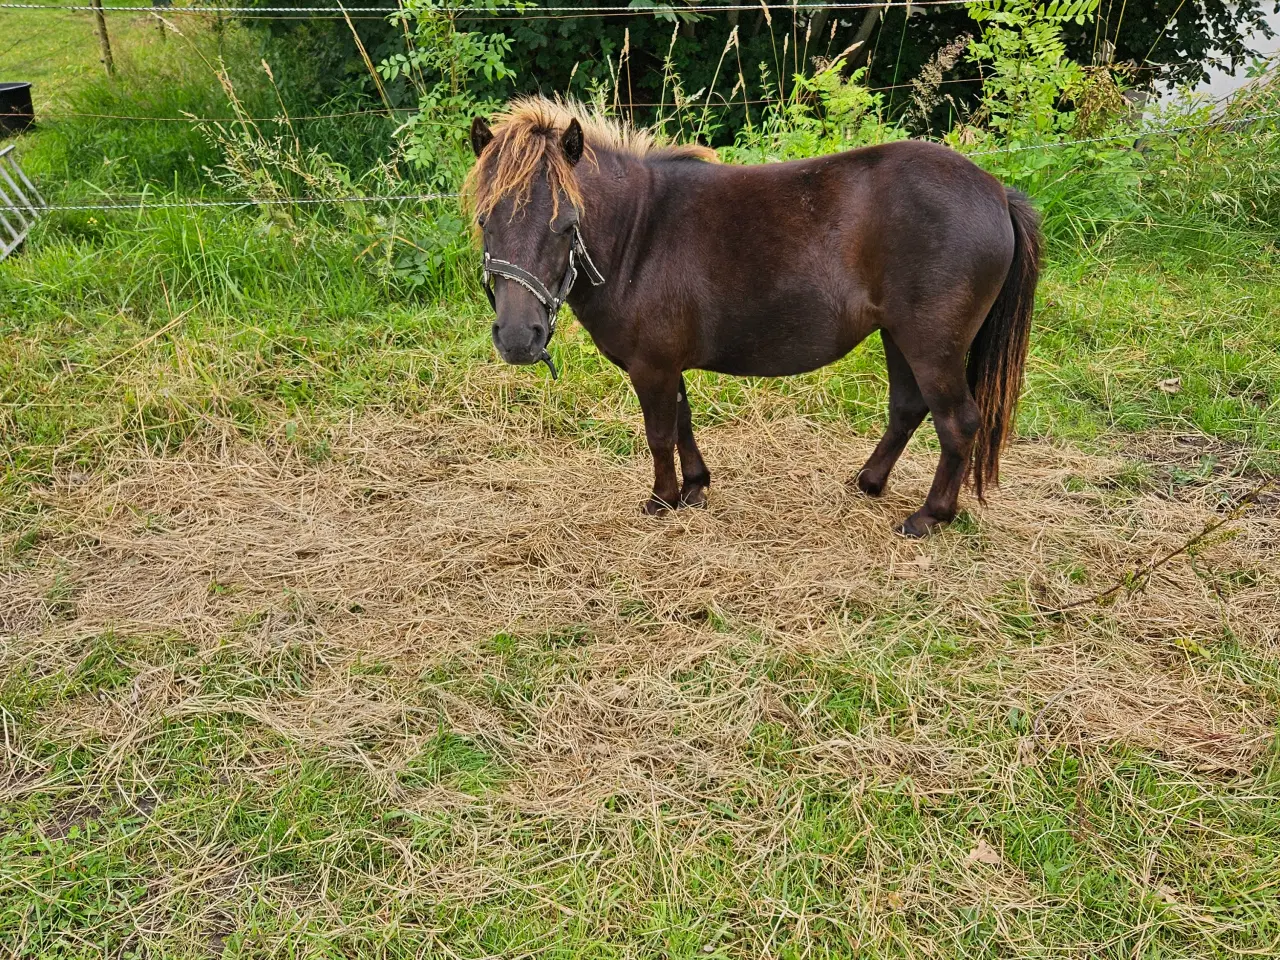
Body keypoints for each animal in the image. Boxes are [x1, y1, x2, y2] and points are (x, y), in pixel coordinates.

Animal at [471, 100, 1039, 537]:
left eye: (568, 224)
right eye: (484, 221)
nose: (518, 339)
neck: (639, 232)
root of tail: (996, 192)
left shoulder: (651, 367)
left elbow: (659, 433)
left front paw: (662, 499)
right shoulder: (668, 366)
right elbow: (681, 423)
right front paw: (695, 487)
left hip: (931, 344)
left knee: (957, 422)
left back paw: (930, 516)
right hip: (899, 336)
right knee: (908, 408)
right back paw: (868, 482)